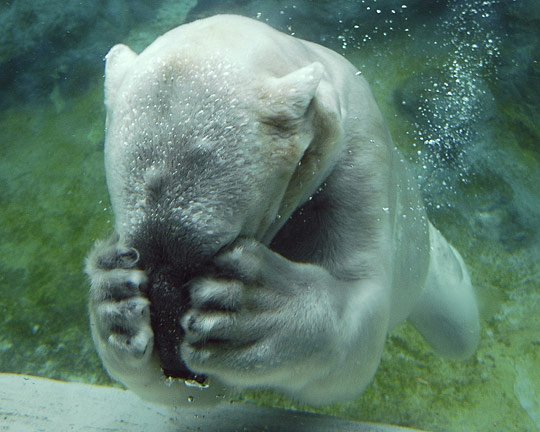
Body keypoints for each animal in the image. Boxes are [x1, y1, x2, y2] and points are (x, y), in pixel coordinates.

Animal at [85, 13, 480, 404]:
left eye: (205, 257)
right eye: (140, 254)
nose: (175, 367)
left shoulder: (359, 158)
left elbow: (361, 319)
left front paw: (254, 307)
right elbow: (202, 394)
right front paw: (115, 301)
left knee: (457, 327)